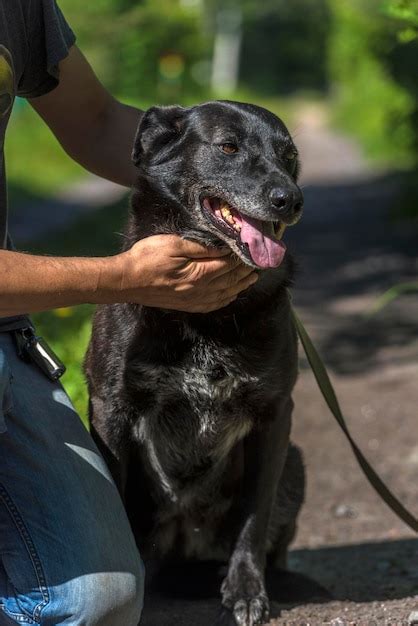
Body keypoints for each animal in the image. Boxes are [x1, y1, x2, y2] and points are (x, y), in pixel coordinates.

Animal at [85, 102, 306, 624]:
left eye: (289, 156)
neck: (208, 316)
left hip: (295, 460)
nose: (291, 200)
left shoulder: (275, 415)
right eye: (227, 147)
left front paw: (246, 589)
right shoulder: (110, 408)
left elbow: (254, 515)